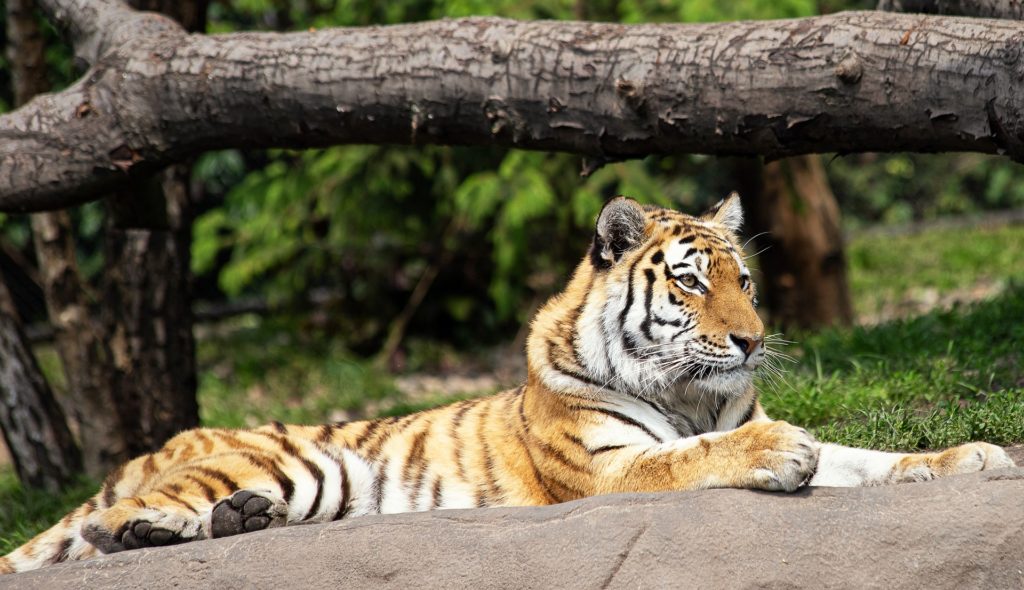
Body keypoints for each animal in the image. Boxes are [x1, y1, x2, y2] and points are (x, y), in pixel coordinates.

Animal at [2, 195, 1015, 573]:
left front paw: (974, 458)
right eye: (694, 282)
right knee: (105, 528)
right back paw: (153, 526)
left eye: (748, 281)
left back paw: (232, 525)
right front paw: (776, 451)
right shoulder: (607, 469)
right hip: (289, 461)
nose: (754, 339)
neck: (690, 389)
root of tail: (158, 442)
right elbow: (694, 456)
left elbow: (871, 459)